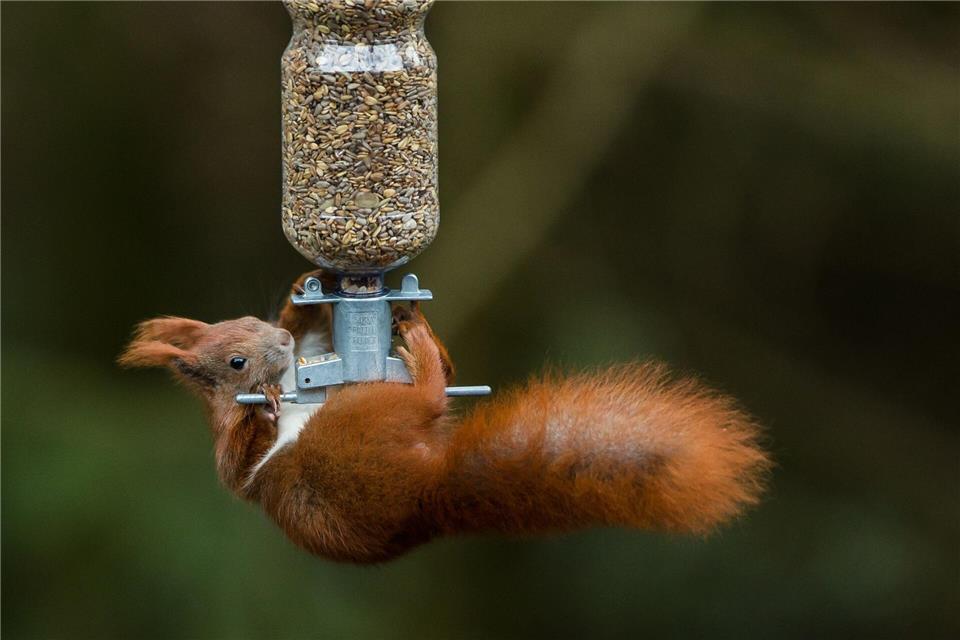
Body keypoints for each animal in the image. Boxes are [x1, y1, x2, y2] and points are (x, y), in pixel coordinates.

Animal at [119, 270, 770, 564]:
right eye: (235, 359)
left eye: (252, 322)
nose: (277, 340)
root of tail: (425, 491)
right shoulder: (230, 449)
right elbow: (239, 460)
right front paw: (267, 408)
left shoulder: (308, 348)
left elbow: (311, 328)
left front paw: (309, 287)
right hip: (361, 420)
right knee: (429, 399)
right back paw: (425, 358)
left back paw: (424, 331)